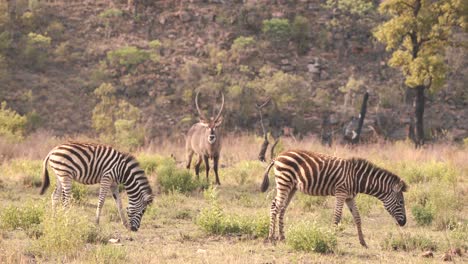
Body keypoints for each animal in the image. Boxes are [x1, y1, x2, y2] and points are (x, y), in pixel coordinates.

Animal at [262, 150, 408, 246]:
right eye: (401, 202)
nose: (403, 223)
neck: (357, 179)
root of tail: (278, 156)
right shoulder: (341, 193)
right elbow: (337, 217)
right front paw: (331, 239)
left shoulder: (350, 197)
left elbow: (357, 218)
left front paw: (363, 242)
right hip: (284, 182)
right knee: (275, 206)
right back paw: (271, 238)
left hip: (292, 187)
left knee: (282, 208)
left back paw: (282, 237)